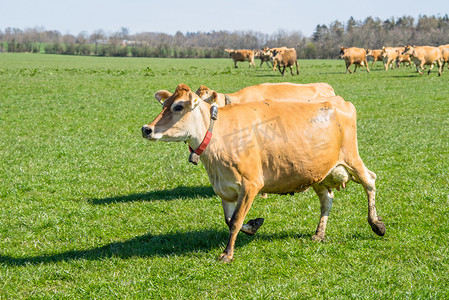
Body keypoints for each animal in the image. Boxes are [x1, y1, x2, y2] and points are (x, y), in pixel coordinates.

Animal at [141, 82, 384, 262]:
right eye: (164, 104)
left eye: (178, 107)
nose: (146, 129)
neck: (220, 135)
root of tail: (339, 101)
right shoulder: (224, 188)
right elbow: (230, 220)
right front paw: (254, 225)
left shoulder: (251, 184)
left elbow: (235, 220)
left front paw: (227, 254)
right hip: (319, 172)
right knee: (327, 200)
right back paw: (319, 233)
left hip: (352, 158)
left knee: (370, 181)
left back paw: (376, 224)